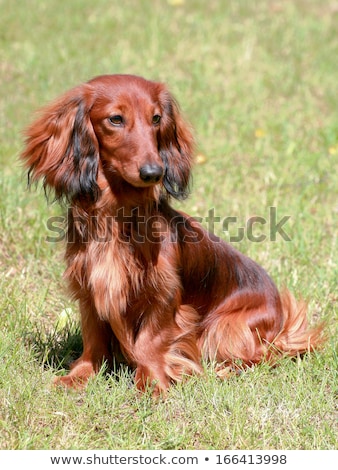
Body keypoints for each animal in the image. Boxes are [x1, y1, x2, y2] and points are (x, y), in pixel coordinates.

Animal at [20, 75, 322, 394]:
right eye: (115, 119)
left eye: (156, 118)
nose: (154, 171)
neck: (117, 217)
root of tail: (282, 320)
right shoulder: (90, 289)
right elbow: (94, 339)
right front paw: (80, 375)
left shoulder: (164, 294)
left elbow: (150, 341)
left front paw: (152, 383)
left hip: (226, 327)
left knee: (260, 356)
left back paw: (223, 372)